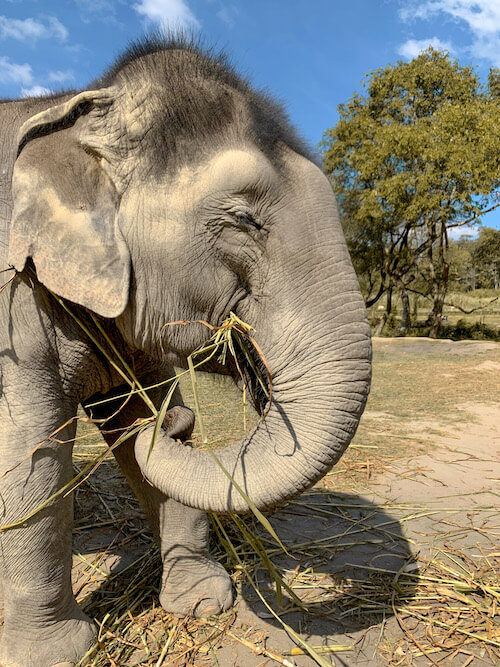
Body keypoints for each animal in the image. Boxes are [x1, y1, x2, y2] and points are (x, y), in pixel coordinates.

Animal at [0, 36, 372, 667]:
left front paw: (202, 600)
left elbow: (135, 420)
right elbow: (33, 451)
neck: (74, 103)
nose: (184, 419)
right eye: (244, 219)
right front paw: (59, 654)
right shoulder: (14, 299)